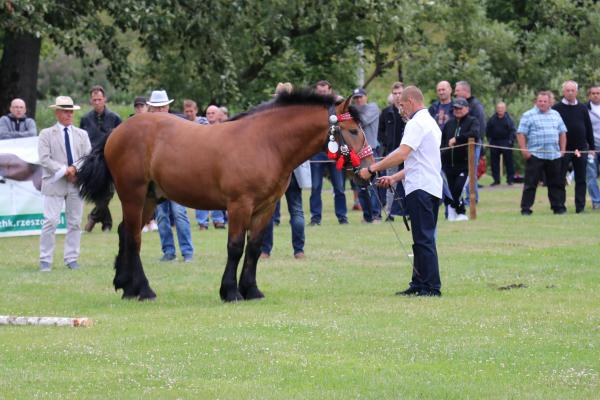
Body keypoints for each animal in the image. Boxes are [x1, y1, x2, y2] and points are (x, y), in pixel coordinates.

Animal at [77, 90, 375, 302]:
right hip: (133, 194)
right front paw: (230, 291)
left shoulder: (266, 208)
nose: (367, 172)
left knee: (125, 232)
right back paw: (144, 289)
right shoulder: (239, 205)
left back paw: (127, 286)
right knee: (134, 238)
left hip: (150, 198)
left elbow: (254, 247)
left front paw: (251, 290)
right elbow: (235, 247)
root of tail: (117, 131)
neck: (267, 143)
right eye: (352, 130)